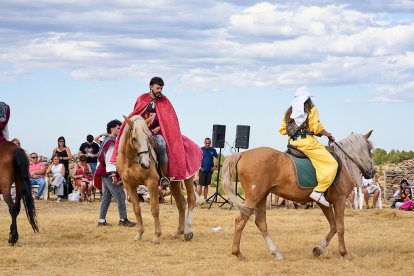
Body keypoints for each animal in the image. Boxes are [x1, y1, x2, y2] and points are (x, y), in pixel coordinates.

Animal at [117, 115, 200, 243]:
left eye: (148, 138)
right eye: (134, 139)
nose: (146, 164)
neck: (131, 161)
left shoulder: (152, 183)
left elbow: (155, 209)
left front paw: (157, 236)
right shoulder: (129, 185)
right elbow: (137, 209)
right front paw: (139, 234)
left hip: (188, 178)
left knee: (191, 200)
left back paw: (187, 232)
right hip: (174, 182)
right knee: (181, 203)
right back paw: (178, 233)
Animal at [223, 130, 376, 260]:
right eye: (369, 149)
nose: (372, 172)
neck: (344, 164)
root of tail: (242, 154)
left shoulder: (323, 203)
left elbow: (333, 226)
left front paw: (318, 249)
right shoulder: (340, 200)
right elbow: (340, 227)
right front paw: (344, 253)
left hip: (261, 197)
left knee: (261, 223)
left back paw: (276, 253)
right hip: (254, 198)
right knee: (240, 221)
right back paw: (238, 253)